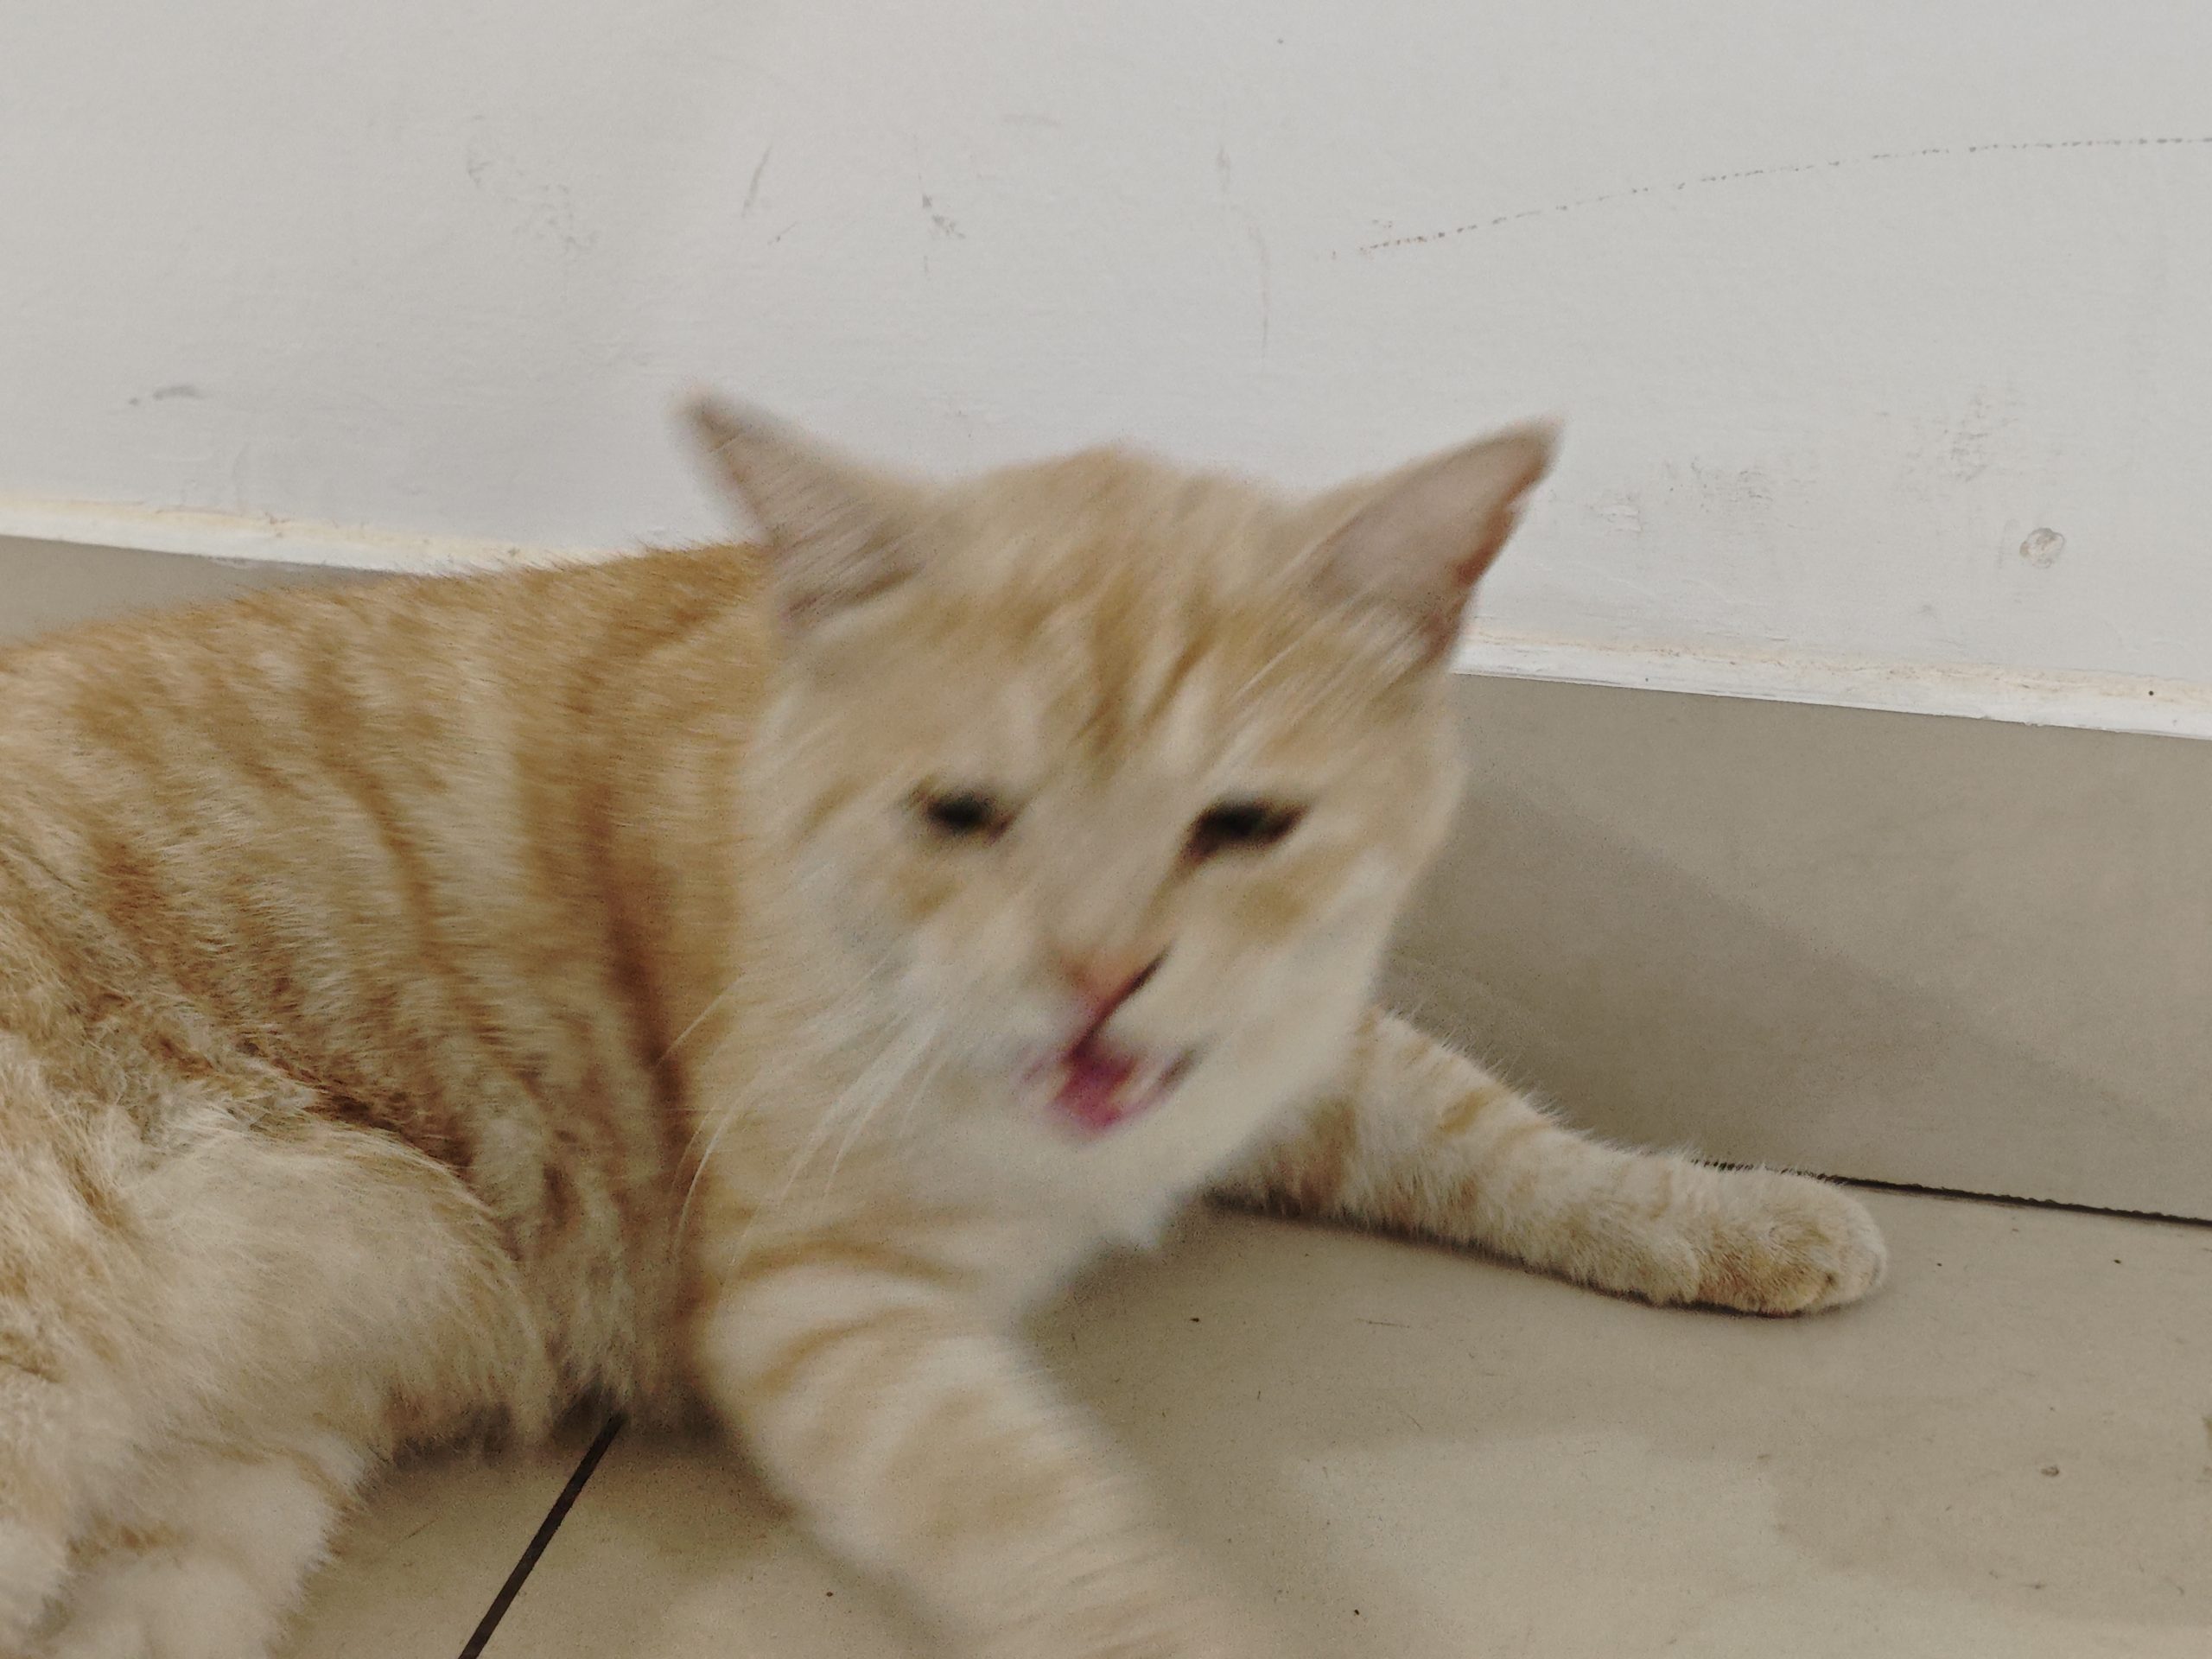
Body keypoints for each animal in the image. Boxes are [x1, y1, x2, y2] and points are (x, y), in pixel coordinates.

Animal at [0, 399, 1885, 1659]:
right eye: (964, 812)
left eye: (1242, 825)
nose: (1103, 972)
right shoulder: (823, 1310)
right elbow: (1053, 1532)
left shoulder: (1282, 1054)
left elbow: (1494, 1135)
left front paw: (1725, 1215)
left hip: (210, 1498)